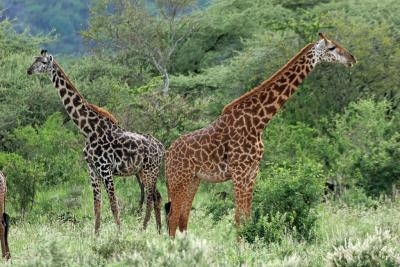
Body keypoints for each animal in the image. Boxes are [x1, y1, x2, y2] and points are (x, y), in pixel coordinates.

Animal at [27, 50, 164, 234]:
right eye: (33, 60)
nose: (29, 71)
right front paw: (96, 235)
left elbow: (114, 204)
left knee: (150, 198)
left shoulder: (105, 168)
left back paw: (143, 230)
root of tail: (161, 147)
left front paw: (119, 234)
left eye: (42, 62)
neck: (88, 130)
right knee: (157, 197)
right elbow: (97, 205)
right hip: (143, 171)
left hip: (150, 170)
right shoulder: (92, 169)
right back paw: (159, 231)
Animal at [164, 33, 358, 237]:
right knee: (173, 217)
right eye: (332, 48)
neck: (259, 122)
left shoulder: (252, 171)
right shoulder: (239, 171)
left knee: (182, 219)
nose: (352, 58)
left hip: (193, 180)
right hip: (179, 180)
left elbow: (247, 216)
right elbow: (239, 218)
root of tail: (167, 155)